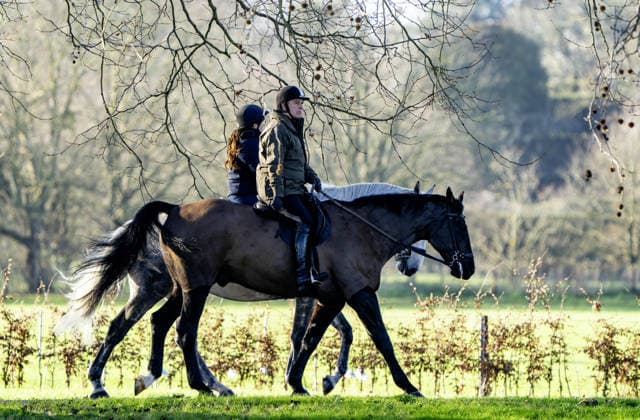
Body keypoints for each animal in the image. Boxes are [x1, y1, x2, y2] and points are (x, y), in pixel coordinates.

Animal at [75, 186, 472, 396]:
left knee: (148, 324)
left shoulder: (331, 298)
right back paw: (199, 385)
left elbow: (312, 338)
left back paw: (141, 378)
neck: (362, 229)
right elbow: (380, 338)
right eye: (458, 225)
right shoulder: (357, 294)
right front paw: (409, 386)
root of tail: (173, 210)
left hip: (179, 289)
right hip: (192, 289)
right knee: (182, 332)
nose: (467, 268)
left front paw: (298, 383)